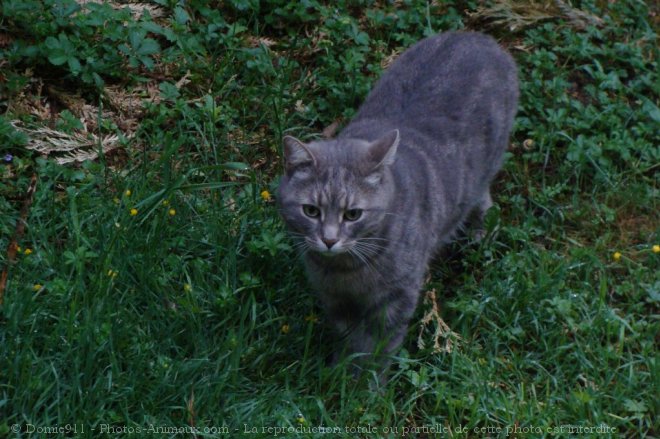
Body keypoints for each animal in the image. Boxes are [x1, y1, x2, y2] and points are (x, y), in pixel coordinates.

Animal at [276, 31, 520, 374]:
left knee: (483, 199)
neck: (346, 272)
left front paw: (367, 383)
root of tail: (478, 37)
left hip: (487, 167)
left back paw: (479, 235)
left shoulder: (396, 299)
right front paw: (340, 371)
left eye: (353, 214)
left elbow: (380, 348)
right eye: (311, 211)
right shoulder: (335, 300)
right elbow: (348, 340)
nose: (329, 240)